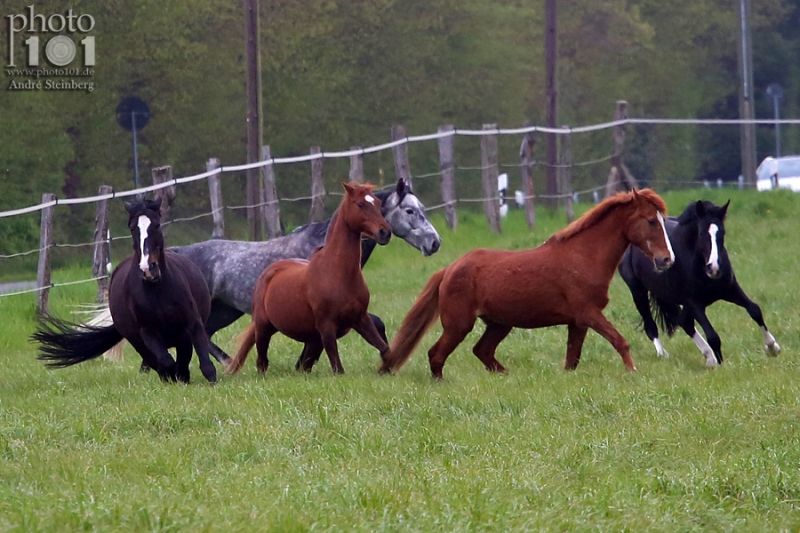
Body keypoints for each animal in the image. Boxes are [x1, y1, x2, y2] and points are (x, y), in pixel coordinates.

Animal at [33, 198, 217, 382]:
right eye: (132, 228)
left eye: (157, 224)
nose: (148, 269)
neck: (157, 291)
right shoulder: (148, 332)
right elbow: (166, 362)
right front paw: (172, 378)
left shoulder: (192, 324)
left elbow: (205, 363)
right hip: (139, 343)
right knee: (159, 362)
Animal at [227, 182, 392, 374]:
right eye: (360, 204)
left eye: (378, 203)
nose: (385, 232)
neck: (339, 274)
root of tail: (268, 272)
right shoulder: (327, 327)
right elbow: (338, 368)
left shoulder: (360, 319)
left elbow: (385, 349)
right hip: (263, 328)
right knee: (262, 362)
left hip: (310, 339)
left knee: (302, 366)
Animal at [380, 187, 676, 378]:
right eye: (651, 221)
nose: (666, 259)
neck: (584, 255)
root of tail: (449, 269)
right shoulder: (589, 314)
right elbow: (620, 341)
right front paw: (633, 372)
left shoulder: (577, 323)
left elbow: (572, 359)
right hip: (459, 325)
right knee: (436, 354)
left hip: (500, 324)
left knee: (482, 351)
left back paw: (506, 375)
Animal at [620, 197, 780, 368]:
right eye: (702, 233)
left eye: (722, 232)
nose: (714, 268)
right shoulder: (694, 302)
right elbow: (712, 335)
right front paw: (721, 364)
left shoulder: (730, 289)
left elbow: (754, 310)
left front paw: (772, 348)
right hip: (638, 291)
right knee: (651, 327)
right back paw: (664, 355)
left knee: (685, 323)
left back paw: (709, 357)